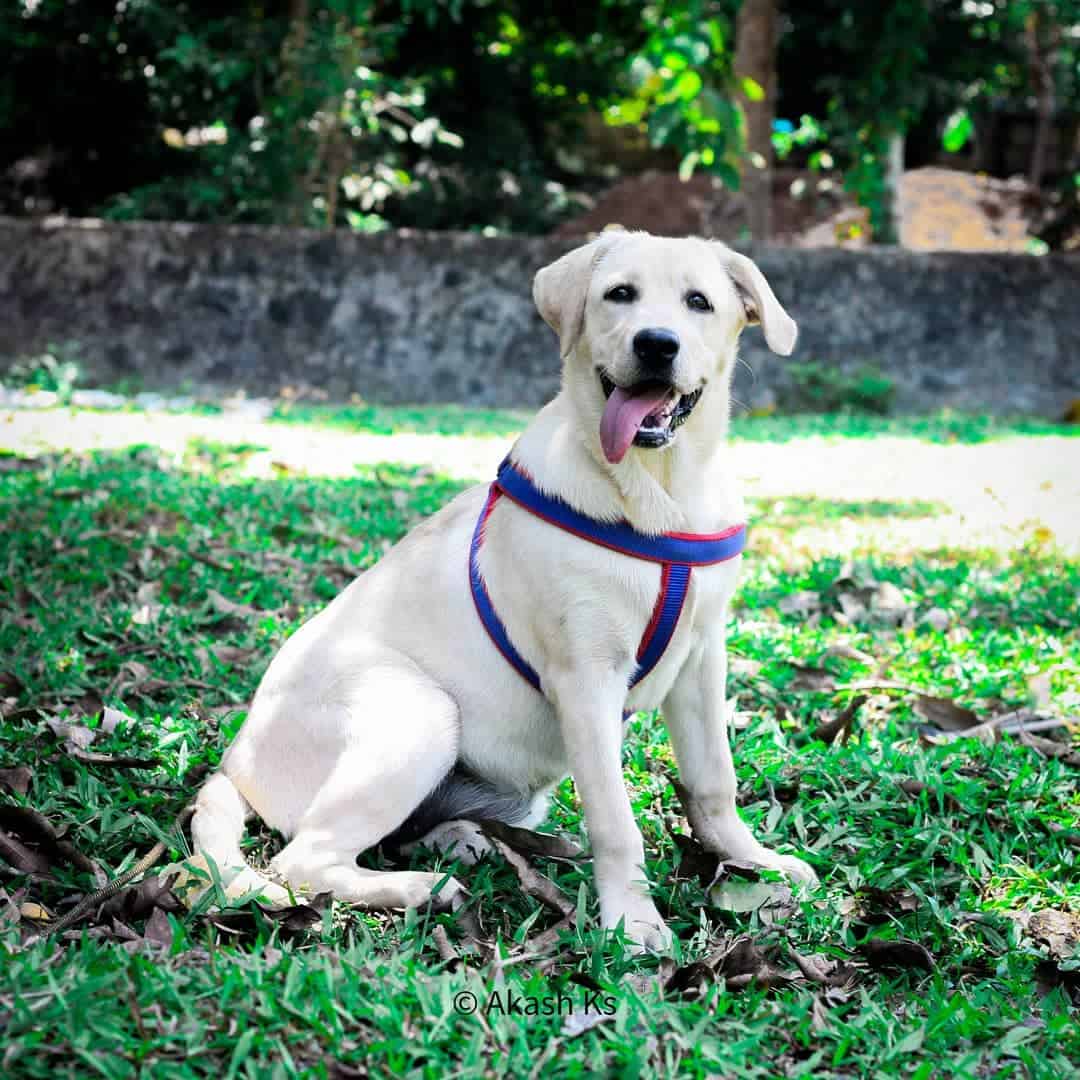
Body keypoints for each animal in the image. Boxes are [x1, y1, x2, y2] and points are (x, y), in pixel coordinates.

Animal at [194, 232, 812, 950]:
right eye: (619, 294)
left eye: (699, 303)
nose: (657, 344)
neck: (657, 489)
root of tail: (235, 764)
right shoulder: (585, 680)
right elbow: (616, 821)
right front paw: (632, 922)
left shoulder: (702, 656)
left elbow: (714, 780)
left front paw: (752, 861)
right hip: (420, 711)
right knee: (303, 860)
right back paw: (420, 890)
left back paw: (460, 841)